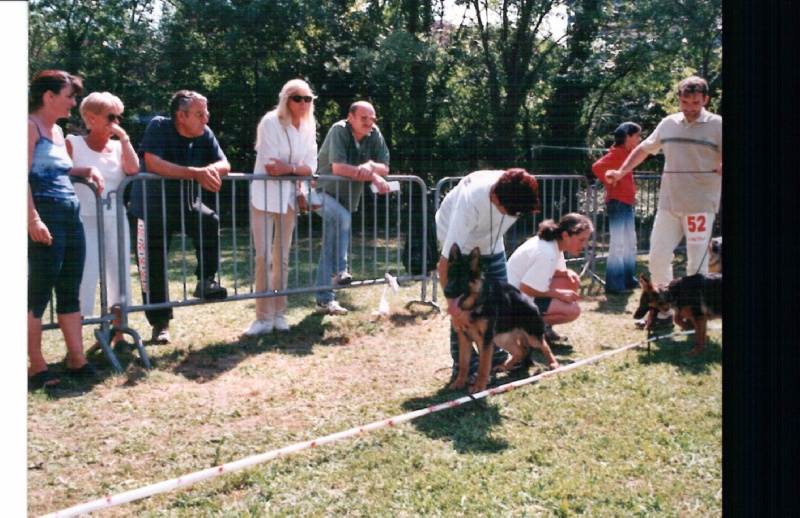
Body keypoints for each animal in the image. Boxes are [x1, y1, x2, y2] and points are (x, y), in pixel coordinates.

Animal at [440, 247, 560, 394]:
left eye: (462, 279)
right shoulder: (464, 339)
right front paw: (459, 382)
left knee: (544, 346)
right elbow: (463, 363)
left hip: (531, 337)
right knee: (521, 351)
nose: (446, 292)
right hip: (501, 339)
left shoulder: (485, 341)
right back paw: (504, 366)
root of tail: (531, 302)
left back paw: (554, 364)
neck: (474, 305)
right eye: (450, 276)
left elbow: (483, 365)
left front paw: (480, 386)